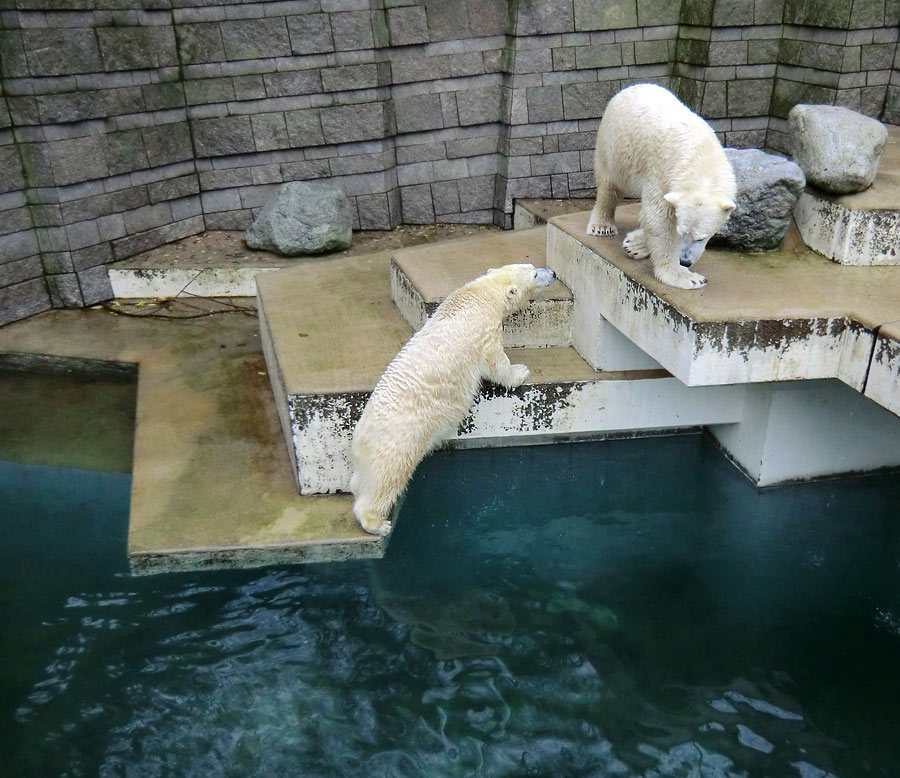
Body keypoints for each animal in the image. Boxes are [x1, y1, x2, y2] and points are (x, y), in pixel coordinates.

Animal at [350, 260, 556, 532]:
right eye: (534, 274)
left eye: (533, 265)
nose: (552, 273)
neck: (480, 294)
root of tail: (361, 436)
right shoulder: (485, 333)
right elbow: (496, 363)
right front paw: (520, 372)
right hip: (400, 439)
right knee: (388, 476)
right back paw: (377, 522)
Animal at [592, 82, 732, 288]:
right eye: (680, 233)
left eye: (702, 237)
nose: (685, 261)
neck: (700, 156)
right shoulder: (662, 171)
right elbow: (658, 217)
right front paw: (686, 277)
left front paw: (635, 245)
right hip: (614, 143)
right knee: (609, 183)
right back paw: (602, 225)